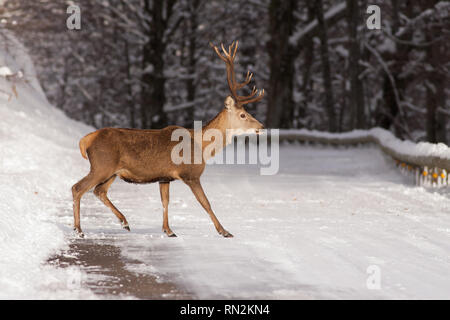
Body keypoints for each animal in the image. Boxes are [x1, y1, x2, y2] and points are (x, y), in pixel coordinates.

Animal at [72, 40, 266, 238]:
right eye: (243, 115)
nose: (261, 127)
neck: (202, 146)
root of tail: (86, 140)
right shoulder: (190, 174)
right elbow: (206, 203)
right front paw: (224, 231)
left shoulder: (164, 177)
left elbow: (165, 201)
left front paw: (168, 230)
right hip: (102, 165)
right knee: (78, 188)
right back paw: (79, 230)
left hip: (112, 171)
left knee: (99, 191)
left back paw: (124, 222)